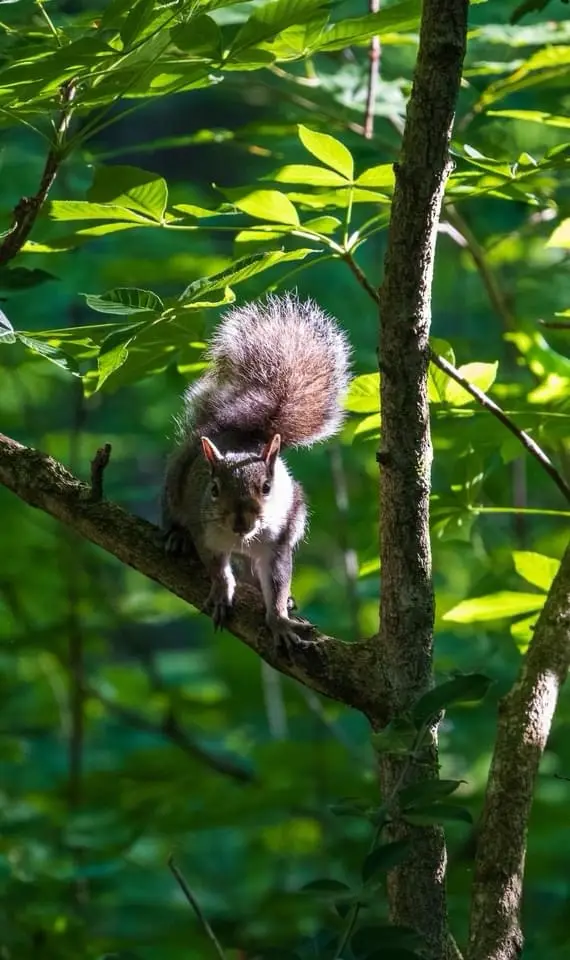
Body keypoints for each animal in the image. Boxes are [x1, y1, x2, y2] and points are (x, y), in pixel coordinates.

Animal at [162, 292, 351, 643]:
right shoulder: (205, 532)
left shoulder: (277, 545)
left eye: (267, 487)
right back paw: (176, 537)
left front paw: (279, 619)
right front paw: (222, 593)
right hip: (174, 484)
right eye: (214, 488)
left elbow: (276, 584)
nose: (240, 521)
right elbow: (217, 569)